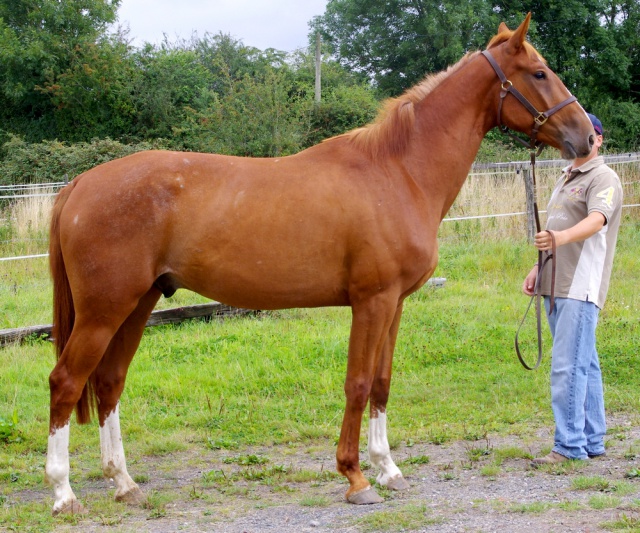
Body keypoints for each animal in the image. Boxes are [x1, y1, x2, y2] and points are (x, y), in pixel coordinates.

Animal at [46, 14, 596, 512]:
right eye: (540, 73)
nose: (588, 136)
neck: (398, 171)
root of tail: (80, 184)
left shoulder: (395, 304)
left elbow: (381, 382)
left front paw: (388, 469)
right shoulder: (371, 302)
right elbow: (357, 383)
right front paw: (356, 477)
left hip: (136, 305)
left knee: (109, 383)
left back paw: (124, 484)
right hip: (104, 311)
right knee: (66, 382)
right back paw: (63, 493)